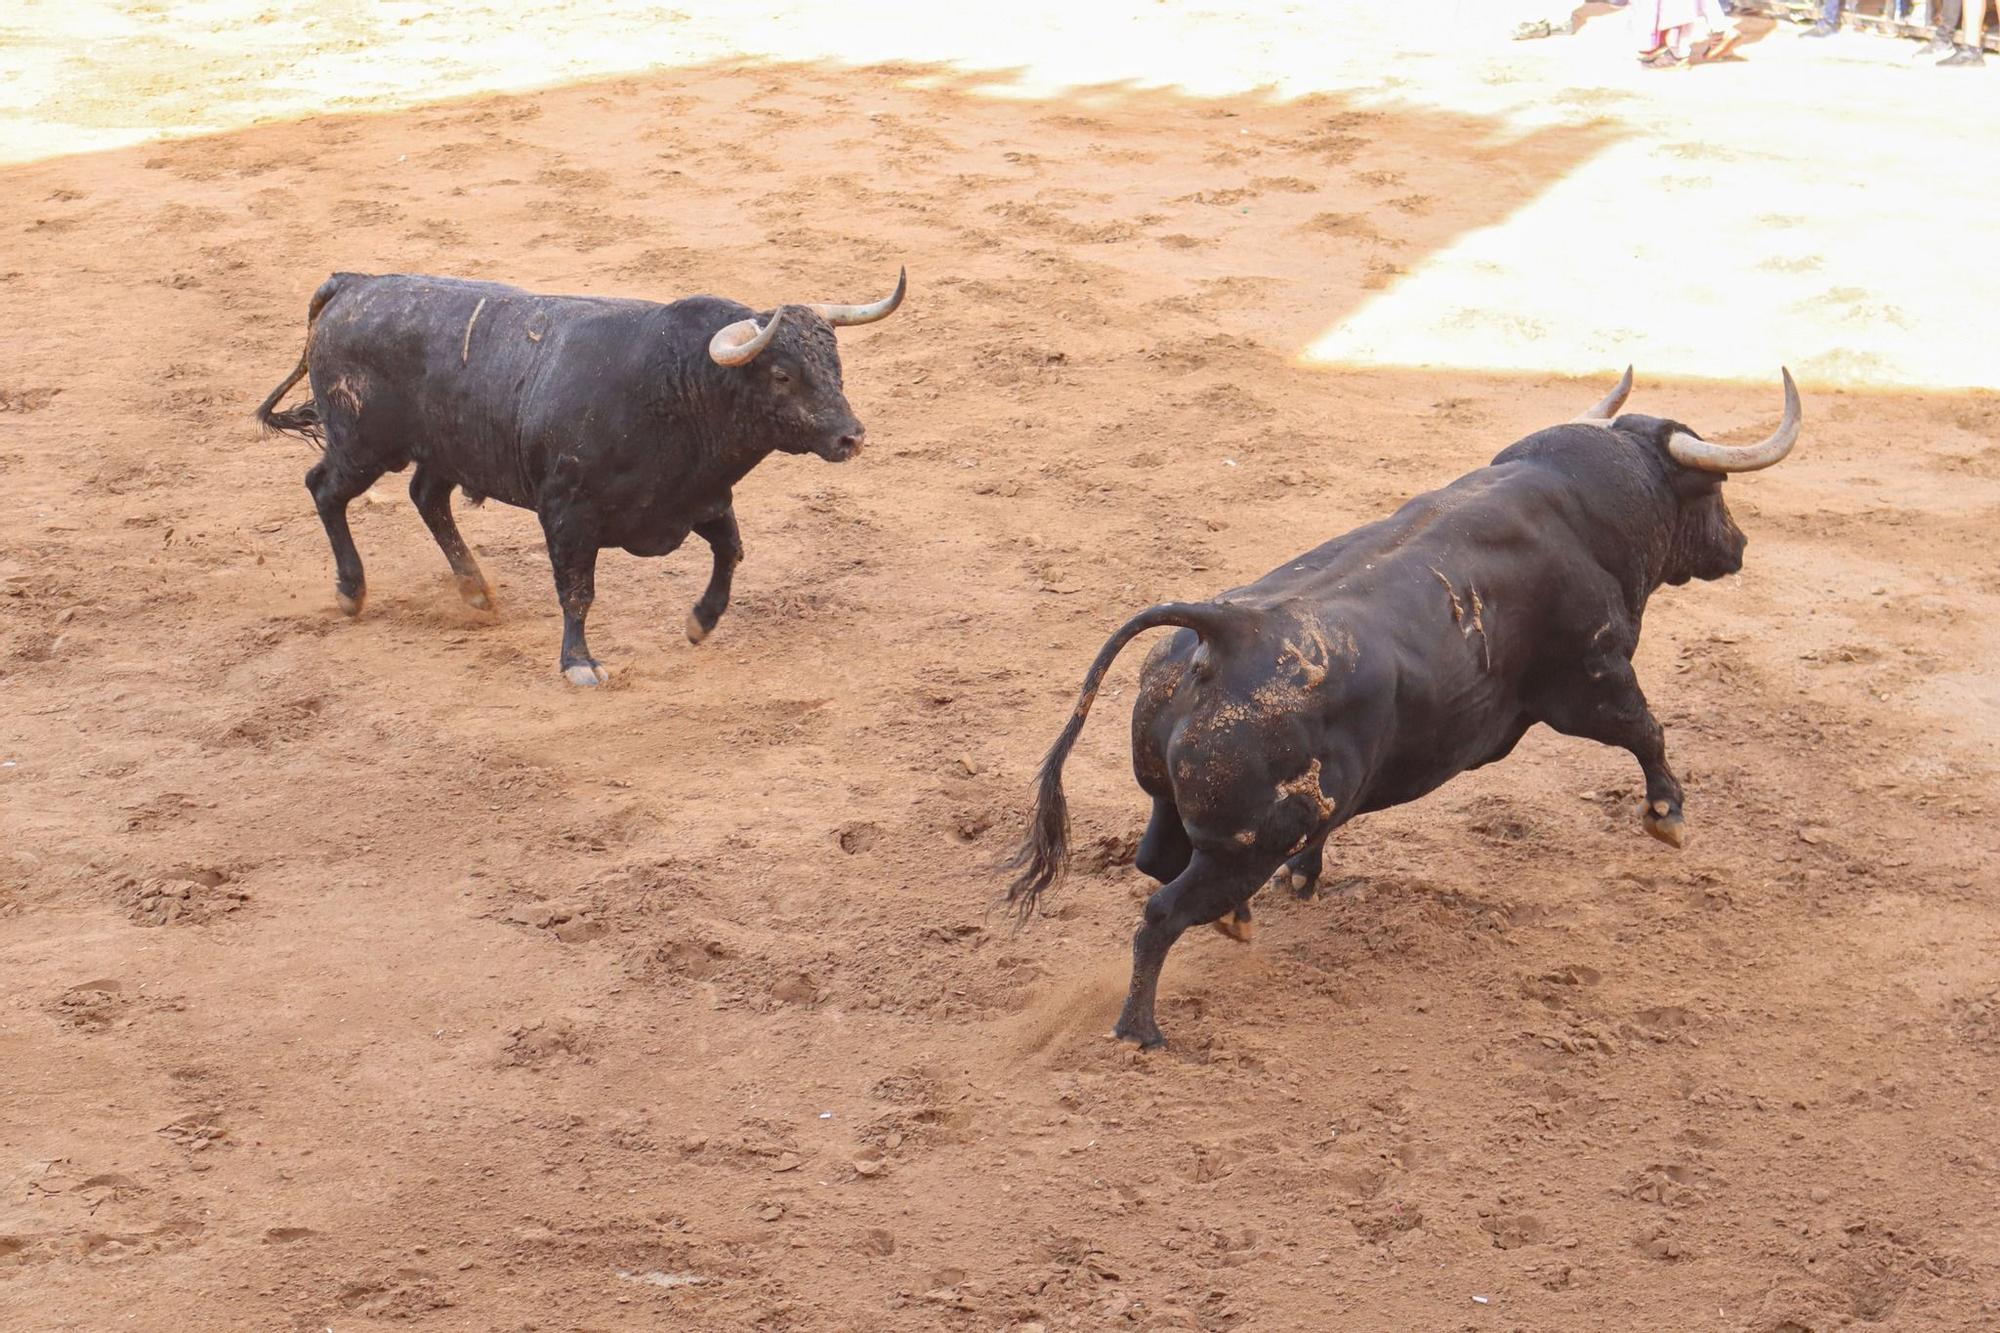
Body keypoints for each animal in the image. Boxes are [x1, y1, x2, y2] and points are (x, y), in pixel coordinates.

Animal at [256, 268, 908, 684]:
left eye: (835, 365)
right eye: (782, 376)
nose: (850, 436)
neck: (675, 386)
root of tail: (354, 284)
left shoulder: (699, 500)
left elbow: (731, 551)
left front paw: (700, 623)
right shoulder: (568, 515)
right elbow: (577, 590)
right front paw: (579, 664)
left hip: (442, 451)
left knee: (427, 497)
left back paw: (475, 590)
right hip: (363, 446)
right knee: (325, 489)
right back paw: (351, 590)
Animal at [1008, 368, 1808, 1040]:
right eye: (1713, 491)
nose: (1738, 545)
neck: (1579, 505)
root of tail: (1222, 633)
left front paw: (1308, 877)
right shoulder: (1595, 677)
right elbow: (1647, 731)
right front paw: (1668, 816)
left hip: (1182, 810)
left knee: (1156, 862)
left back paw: (1235, 920)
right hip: (1245, 844)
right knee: (1160, 913)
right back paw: (1140, 1028)